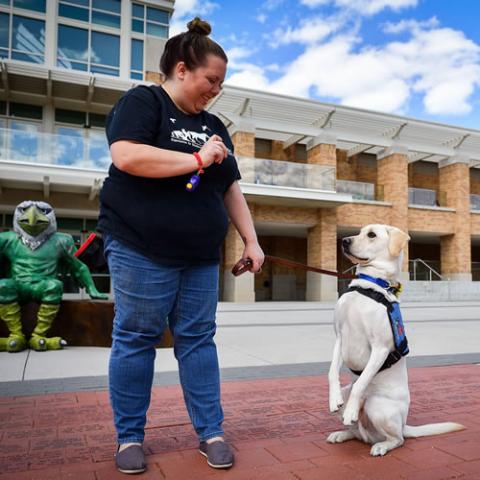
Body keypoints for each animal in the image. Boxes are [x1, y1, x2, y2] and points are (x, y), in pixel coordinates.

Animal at [328, 223, 464, 456]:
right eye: (358, 231)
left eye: (371, 235)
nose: (344, 241)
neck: (368, 285)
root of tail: (404, 424)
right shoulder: (339, 338)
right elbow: (331, 373)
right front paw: (333, 399)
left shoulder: (380, 348)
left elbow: (360, 383)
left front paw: (351, 410)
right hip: (360, 410)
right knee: (358, 433)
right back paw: (341, 433)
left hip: (377, 406)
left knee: (397, 439)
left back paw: (381, 444)